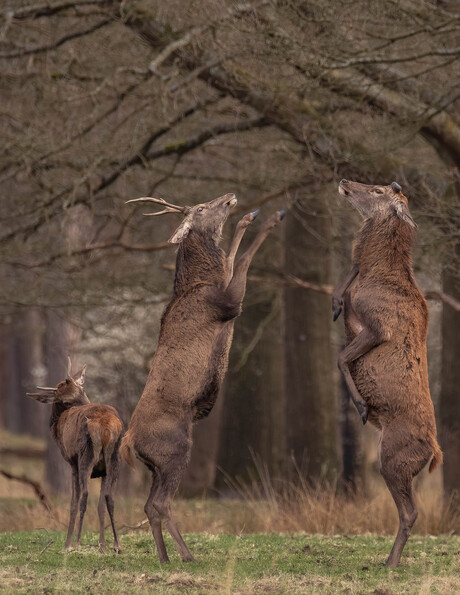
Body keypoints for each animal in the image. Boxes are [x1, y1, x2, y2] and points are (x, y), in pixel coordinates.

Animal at [27, 358, 123, 556]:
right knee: (109, 498)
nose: (86, 402)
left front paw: (68, 543)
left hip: (85, 457)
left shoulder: (72, 464)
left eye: (82, 391)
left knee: (84, 496)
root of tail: (105, 427)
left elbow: (73, 502)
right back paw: (116, 545)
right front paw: (102, 544)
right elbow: (101, 504)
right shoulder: (102, 471)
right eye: (65, 400)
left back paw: (78, 542)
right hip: (115, 460)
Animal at [120, 192, 282, 564]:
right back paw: (187, 554)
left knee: (149, 505)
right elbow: (241, 260)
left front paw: (252, 215)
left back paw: (165, 557)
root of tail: (129, 440)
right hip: (176, 450)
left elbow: (233, 258)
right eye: (202, 209)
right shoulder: (228, 304)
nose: (230, 196)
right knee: (161, 503)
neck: (202, 283)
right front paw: (269, 218)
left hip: (156, 466)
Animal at [334, 180, 442, 568]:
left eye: (378, 190)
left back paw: (390, 561)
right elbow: (342, 291)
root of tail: (434, 453)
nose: (345, 182)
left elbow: (341, 358)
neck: (377, 274)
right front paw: (335, 301)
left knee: (410, 511)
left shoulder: (379, 326)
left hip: (392, 459)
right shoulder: (355, 311)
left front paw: (362, 405)